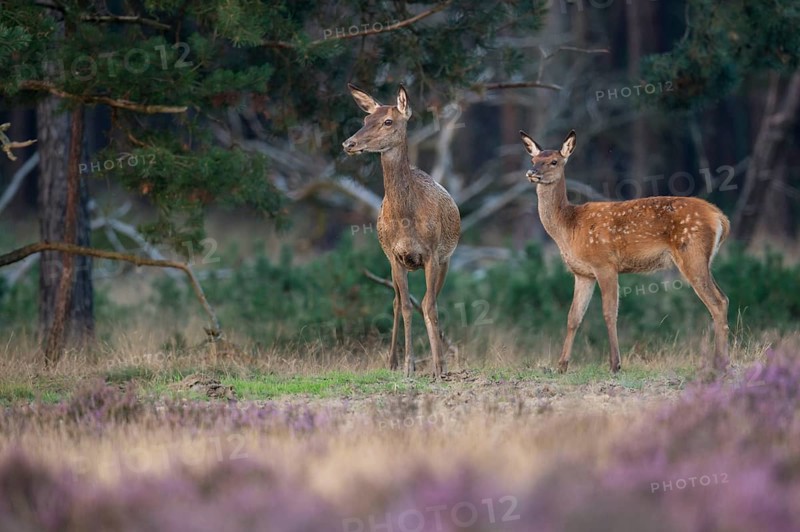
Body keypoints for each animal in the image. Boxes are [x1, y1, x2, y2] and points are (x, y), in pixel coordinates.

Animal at [343, 84, 461, 378]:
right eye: (365, 119)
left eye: (388, 121)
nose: (348, 144)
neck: (406, 220)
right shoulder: (395, 256)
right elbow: (406, 306)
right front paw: (409, 366)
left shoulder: (432, 254)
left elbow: (430, 306)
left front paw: (438, 366)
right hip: (391, 261)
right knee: (398, 302)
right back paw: (392, 361)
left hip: (446, 259)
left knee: (432, 302)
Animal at [519, 129, 730, 374]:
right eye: (533, 160)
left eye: (553, 161)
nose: (531, 173)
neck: (569, 228)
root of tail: (720, 217)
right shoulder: (582, 273)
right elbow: (574, 317)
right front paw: (561, 366)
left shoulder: (604, 263)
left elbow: (609, 313)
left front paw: (615, 364)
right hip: (702, 259)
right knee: (723, 298)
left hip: (692, 252)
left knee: (716, 301)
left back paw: (720, 364)